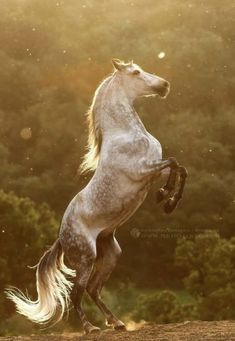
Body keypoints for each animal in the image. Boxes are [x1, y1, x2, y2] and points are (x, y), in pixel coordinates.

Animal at [5, 58, 187, 332]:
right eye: (136, 72)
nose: (164, 85)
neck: (126, 133)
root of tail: (61, 237)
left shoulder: (154, 170)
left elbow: (179, 169)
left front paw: (167, 200)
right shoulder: (143, 170)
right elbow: (175, 163)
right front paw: (166, 199)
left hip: (110, 253)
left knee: (93, 289)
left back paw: (117, 322)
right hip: (86, 257)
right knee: (77, 292)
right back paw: (90, 327)